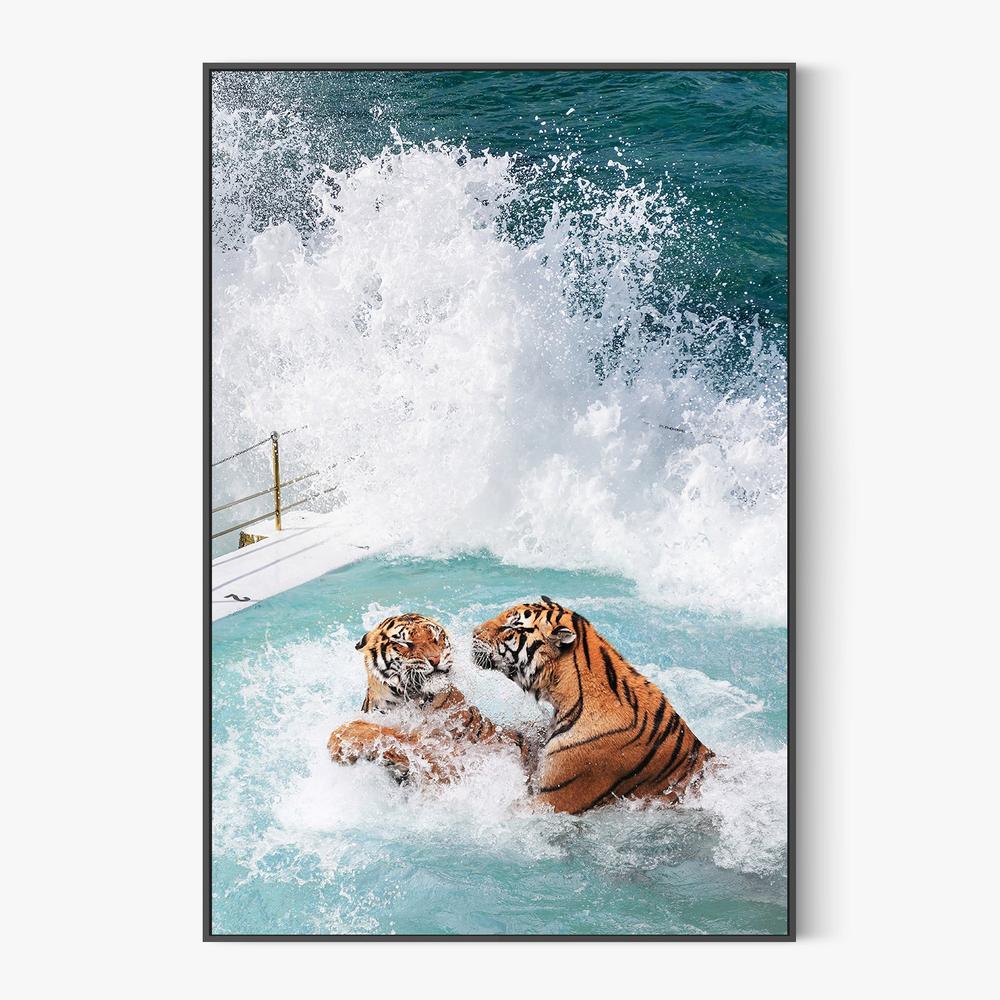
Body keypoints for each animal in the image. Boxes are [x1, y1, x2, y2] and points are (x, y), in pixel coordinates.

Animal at [327, 613, 529, 783]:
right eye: (404, 642)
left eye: (436, 637)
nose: (435, 659)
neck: (399, 701)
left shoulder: (440, 746)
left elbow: (389, 732)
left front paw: (338, 740)